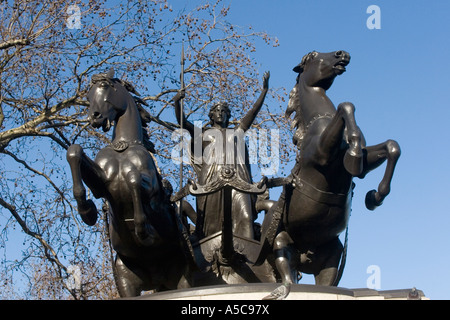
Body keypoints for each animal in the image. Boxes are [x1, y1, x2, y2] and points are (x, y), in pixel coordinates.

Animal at [66, 69, 190, 296]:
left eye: (105, 86)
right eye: (87, 96)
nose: (93, 117)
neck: (123, 147)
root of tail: (158, 278)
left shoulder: (152, 188)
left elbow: (133, 180)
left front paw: (143, 230)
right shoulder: (102, 183)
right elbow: (74, 152)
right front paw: (87, 210)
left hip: (183, 279)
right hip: (126, 280)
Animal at [264, 49, 400, 298]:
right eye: (314, 55)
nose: (342, 54)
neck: (320, 119)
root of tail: (306, 254)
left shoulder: (365, 163)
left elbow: (391, 147)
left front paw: (375, 197)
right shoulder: (324, 155)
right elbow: (346, 106)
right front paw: (354, 152)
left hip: (333, 253)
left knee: (326, 281)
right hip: (279, 241)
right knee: (286, 272)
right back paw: (282, 289)